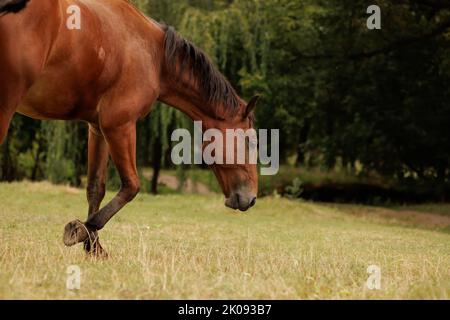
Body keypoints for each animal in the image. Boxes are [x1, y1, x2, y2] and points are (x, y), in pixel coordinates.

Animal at [0, 0, 258, 255]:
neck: (154, 54)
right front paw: (82, 229)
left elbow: (96, 188)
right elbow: (132, 186)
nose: (252, 198)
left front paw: (94, 246)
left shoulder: (98, 129)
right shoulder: (119, 125)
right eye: (250, 142)